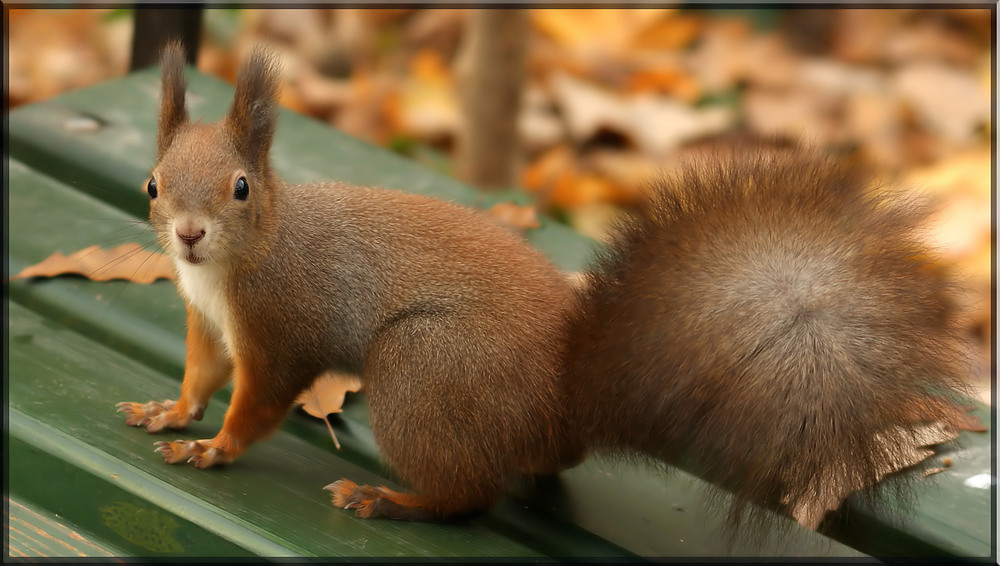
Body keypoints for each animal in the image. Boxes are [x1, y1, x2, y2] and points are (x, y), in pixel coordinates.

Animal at [115, 42, 976, 536]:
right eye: (154, 183)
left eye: (240, 188)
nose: (188, 235)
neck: (231, 269)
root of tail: (571, 397)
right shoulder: (210, 321)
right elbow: (204, 375)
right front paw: (173, 411)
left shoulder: (281, 324)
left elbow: (259, 401)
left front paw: (215, 447)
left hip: (425, 366)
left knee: (467, 498)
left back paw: (392, 501)